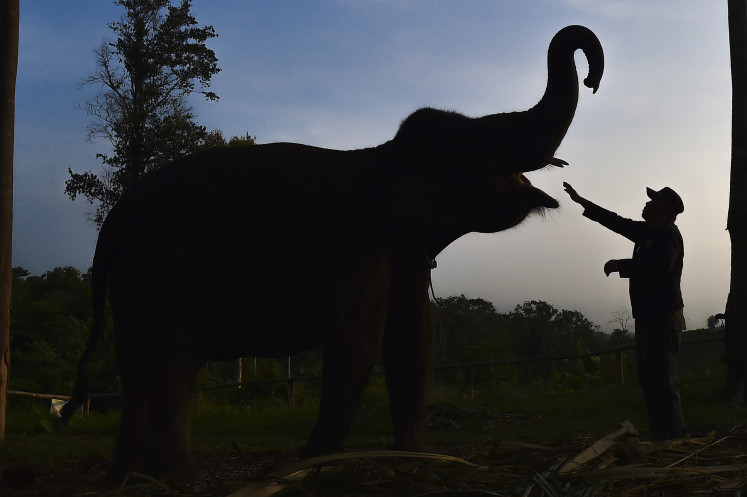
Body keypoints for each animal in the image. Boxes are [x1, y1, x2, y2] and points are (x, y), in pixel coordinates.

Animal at [61, 24, 603, 481]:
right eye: (469, 149)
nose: (593, 76)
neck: (380, 158)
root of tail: (111, 223)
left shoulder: (402, 253)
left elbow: (414, 336)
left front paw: (415, 453)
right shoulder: (355, 245)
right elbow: (358, 338)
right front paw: (314, 460)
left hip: (132, 286)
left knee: (136, 369)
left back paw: (127, 478)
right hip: (167, 272)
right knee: (172, 365)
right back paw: (181, 478)